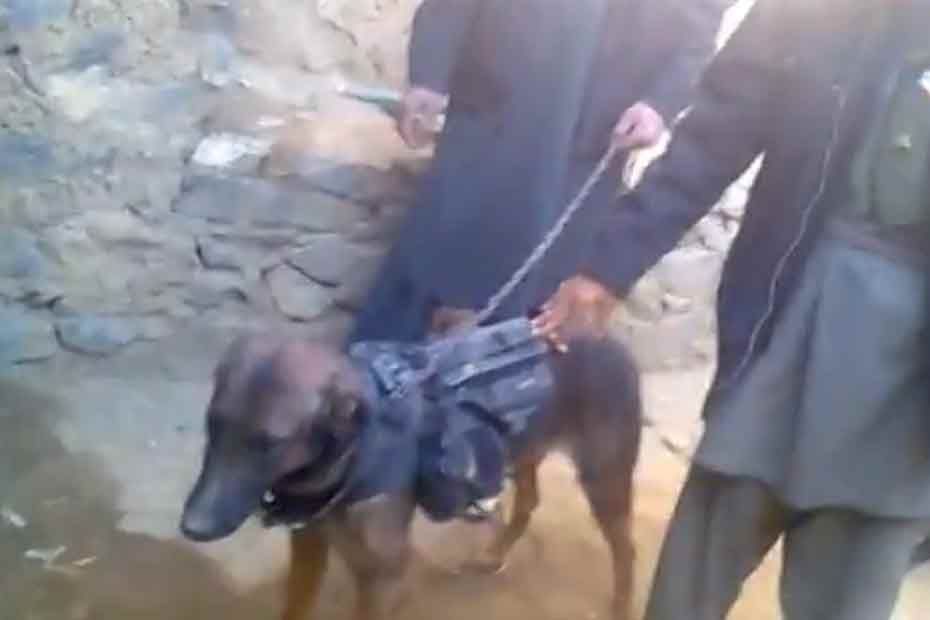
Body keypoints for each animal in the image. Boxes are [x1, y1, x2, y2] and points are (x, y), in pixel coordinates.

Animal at [180, 309, 642, 620]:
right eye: (213, 425)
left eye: (270, 444)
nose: (192, 527)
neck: (350, 454)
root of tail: (611, 339)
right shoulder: (309, 548)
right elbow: (295, 608)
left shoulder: (383, 576)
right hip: (525, 449)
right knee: (528, 502)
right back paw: (494, 554)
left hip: (605, 478)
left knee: (627, 550)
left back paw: (621, 605)